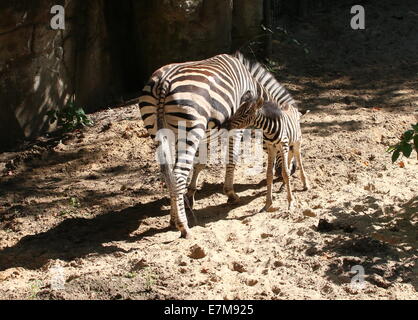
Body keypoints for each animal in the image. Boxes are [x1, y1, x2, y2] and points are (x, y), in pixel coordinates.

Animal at [140, 52, 298, 238]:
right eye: (286, 145)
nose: (292, 170)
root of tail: (163, 82)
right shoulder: (235, 128)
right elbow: (231, 159)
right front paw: (231, 194)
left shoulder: (204, 135)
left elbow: (200, 164)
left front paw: (190, 195)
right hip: (189, 130)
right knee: (178, 175)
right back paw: (183, 226)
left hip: (162, 132)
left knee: (169, 174)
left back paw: (173, 219)